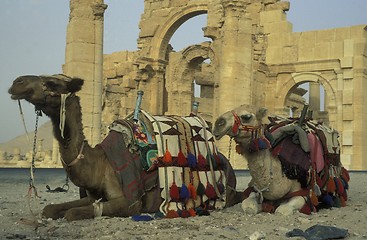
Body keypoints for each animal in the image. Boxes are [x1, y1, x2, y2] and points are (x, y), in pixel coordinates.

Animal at [8, 74, 242, 221]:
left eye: (52, 83)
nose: (17, 82)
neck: (98, 162)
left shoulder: (129, 203)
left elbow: (71, 213)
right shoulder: (92, 196)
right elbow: (50, 208)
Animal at [211, 105, 350, 216]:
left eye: (246, 116)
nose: (218, 123)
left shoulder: (304, 193)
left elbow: (282, 211)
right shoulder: (256, 190)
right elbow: (248, 206)